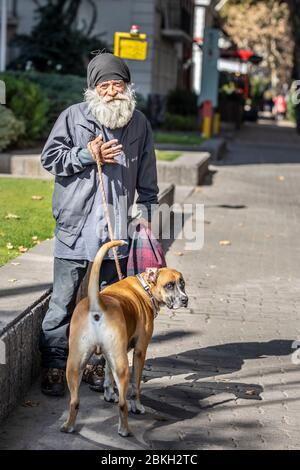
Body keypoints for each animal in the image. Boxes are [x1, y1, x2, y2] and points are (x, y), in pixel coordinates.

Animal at [59, 242, 189, 436]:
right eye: (169, 285)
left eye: (182, 283)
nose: (185, 299)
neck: (144, 288)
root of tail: (98, 303)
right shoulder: (140, 351)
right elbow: (136, 385)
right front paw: (138, 406)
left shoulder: (109, 356)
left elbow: (107, 376)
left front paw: (108, 394)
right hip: (122, 368)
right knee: (123, 403)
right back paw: (124, 429)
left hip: (75, 364)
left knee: (74, 401)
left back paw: (69, 425)